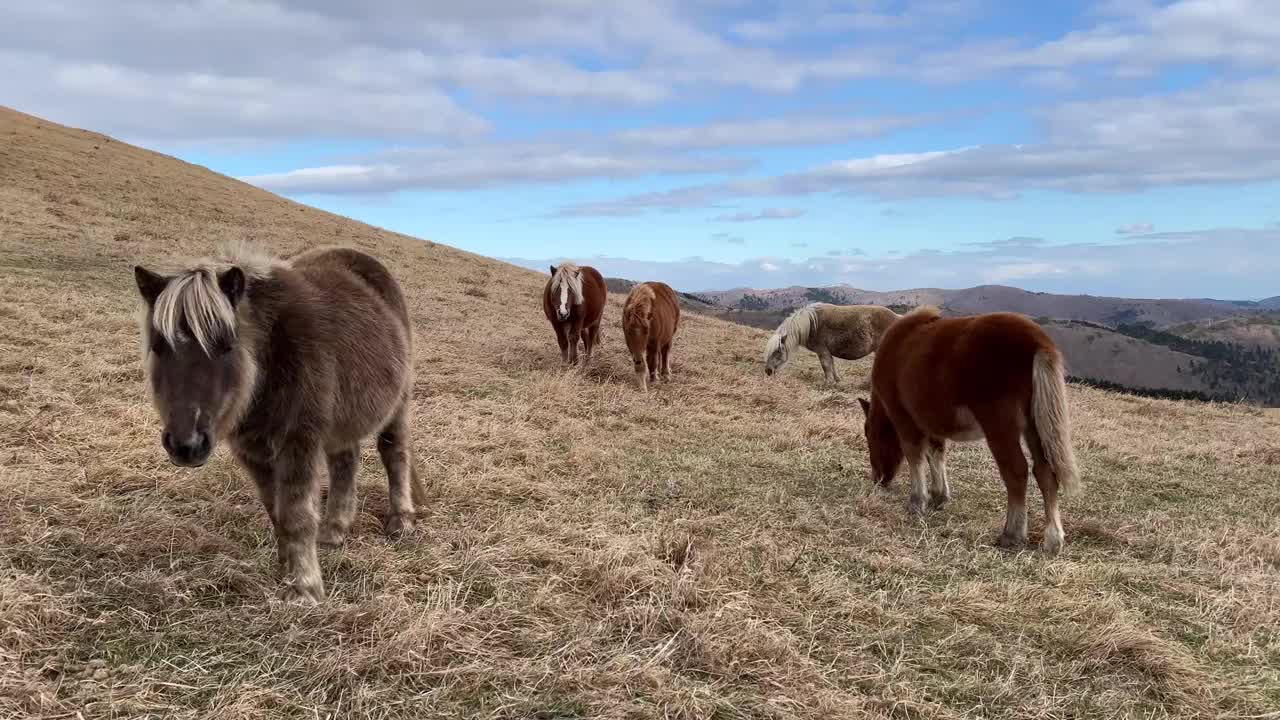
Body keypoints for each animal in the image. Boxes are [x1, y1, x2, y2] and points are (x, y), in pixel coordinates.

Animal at [135, 240, 427, 599]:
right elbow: (276, 513)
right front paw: (284, 571)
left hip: (396, 405)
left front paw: (304, 589)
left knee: (394, 454)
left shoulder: (298, 442)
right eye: (158, 347)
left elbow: (295, 515)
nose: (186, 445)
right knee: (345, 462)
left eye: (226, 347)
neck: (270, 358)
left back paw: (400, 521)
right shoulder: (251, 450)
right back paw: (334, 531)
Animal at [762, 301, 906, 384]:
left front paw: (828, 383)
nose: (768, 371)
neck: (811, 324)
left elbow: (826, 366)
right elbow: (832, 365)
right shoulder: (827, 352)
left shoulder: (822, 350)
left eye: (777, 351)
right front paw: (836, 380)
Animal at [860, 304, 1080, 550]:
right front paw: (939, 496)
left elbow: (915, 456)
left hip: (1000, 427)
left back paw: (1012, 534)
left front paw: (917, 501)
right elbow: (936, 453)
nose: (878, 479)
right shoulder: (932, 422)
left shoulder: (904, 419)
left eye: (869, 435)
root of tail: (1037, 340)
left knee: (1016, 471)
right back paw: (1053, 539)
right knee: (1045, 472)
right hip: (1034, 427)